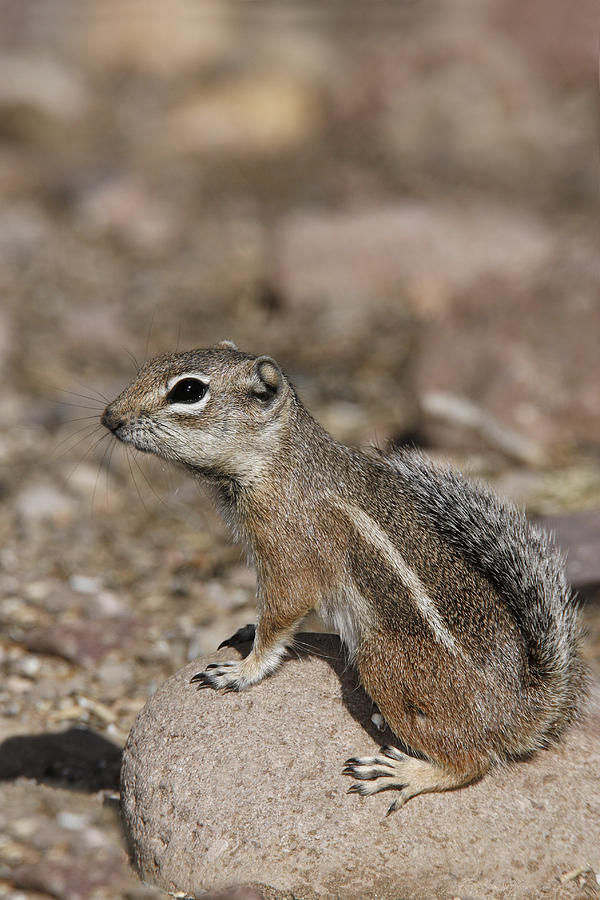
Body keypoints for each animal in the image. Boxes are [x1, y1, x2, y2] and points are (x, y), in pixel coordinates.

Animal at [102, 342, 584, 812]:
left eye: (188, 391)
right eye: (150, 363)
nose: (110, 417)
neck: (278, 459)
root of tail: (522, 710)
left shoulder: (289, 555)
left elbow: (281, 617)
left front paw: (244, 670)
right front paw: (246, 631)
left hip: (384, 663)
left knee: (472, 762)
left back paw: (406, 773)